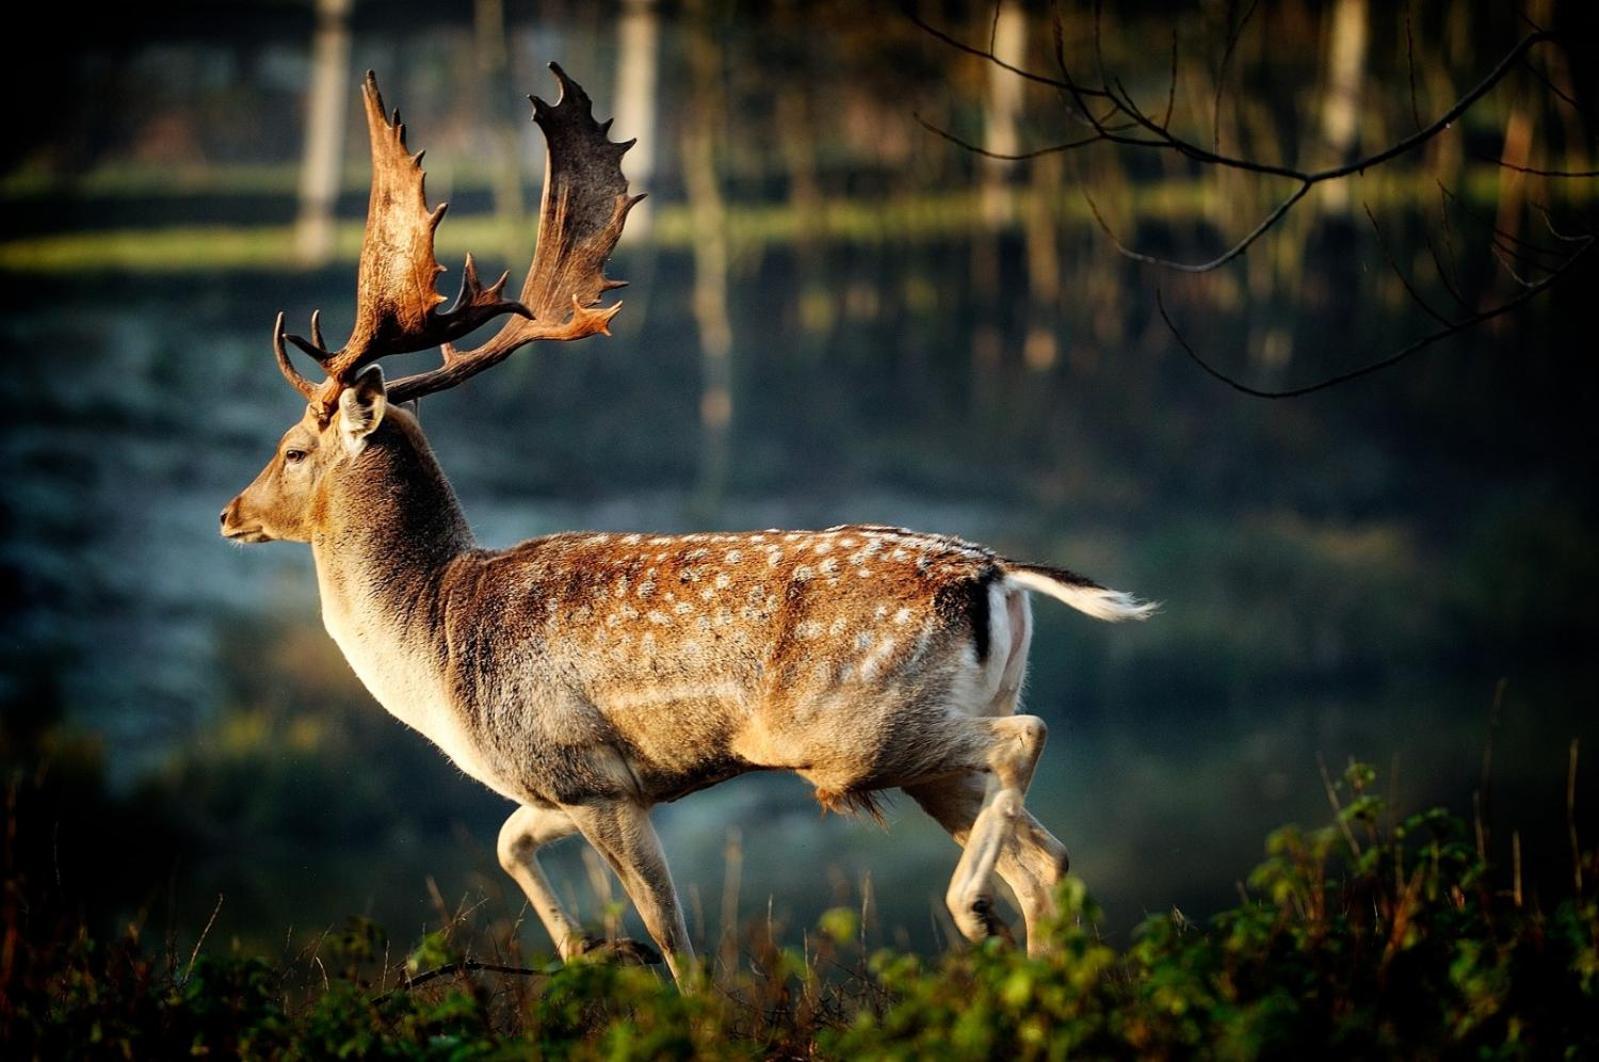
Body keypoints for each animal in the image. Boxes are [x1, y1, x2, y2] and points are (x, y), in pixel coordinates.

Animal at [222, 64, 1151, 978]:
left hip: (857, 731)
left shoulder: (587, 773)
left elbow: (677, 940)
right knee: (1047, 862)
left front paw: (646, 966)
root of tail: (995, 572)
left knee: (1025, 744)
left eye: (293, 449)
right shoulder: (576, 785)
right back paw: (1015, 949)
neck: (435, 643)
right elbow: (507, 843)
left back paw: (968, 909)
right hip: (929, 747)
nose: (232, 513)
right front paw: (591, 947)